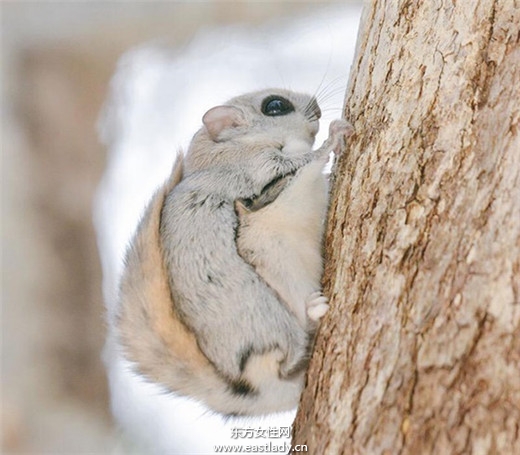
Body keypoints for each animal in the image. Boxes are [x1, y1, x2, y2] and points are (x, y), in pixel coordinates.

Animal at [117, 89, 354, 416]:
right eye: (275, 106)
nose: (318, 108)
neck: (234, 147)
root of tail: (253, 388)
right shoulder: (260, 169)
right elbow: (307, 160)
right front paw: (335, 134)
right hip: (265, 314)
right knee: (287, 355)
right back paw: (313, 314)